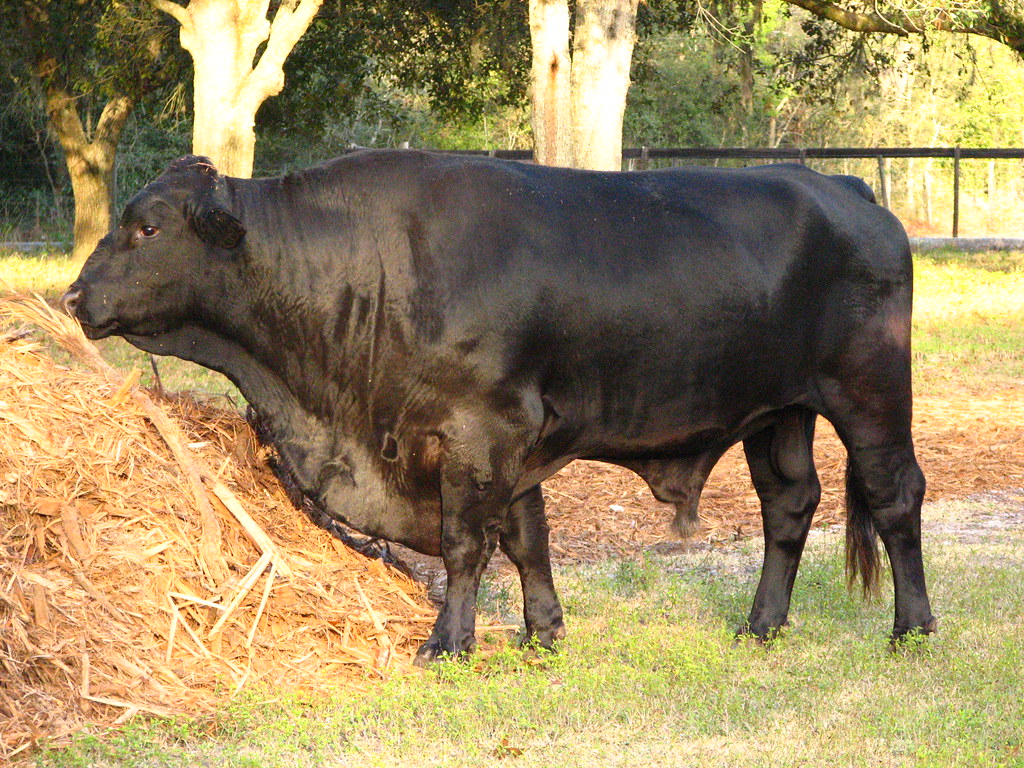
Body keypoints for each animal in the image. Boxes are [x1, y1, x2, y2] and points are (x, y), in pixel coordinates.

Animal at [62, 150, 936, 665]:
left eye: (147, 227)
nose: (73, 296)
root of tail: (843, 184)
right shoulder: (505, 443)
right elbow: (525, 537)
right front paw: (543, 632)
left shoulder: (483, 429)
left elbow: (465, 544)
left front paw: (449, 642)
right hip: (778, 411)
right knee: (789, 504)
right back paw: (760, 626)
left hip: (869, 393)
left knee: (895, 497)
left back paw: (913, 628)